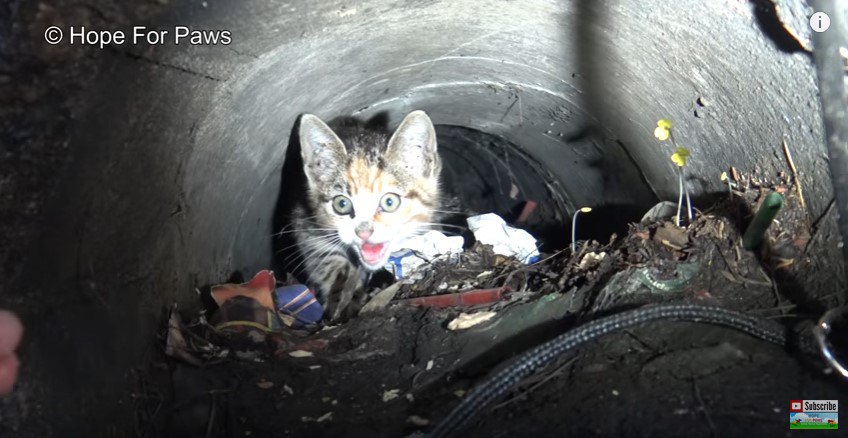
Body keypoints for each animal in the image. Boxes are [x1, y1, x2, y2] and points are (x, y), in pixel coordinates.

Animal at [292, 111, 440, 320]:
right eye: (342, 204)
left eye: (389, 202)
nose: (363, 232)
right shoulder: (306, 226)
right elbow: (325, 260)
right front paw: (341, 299)